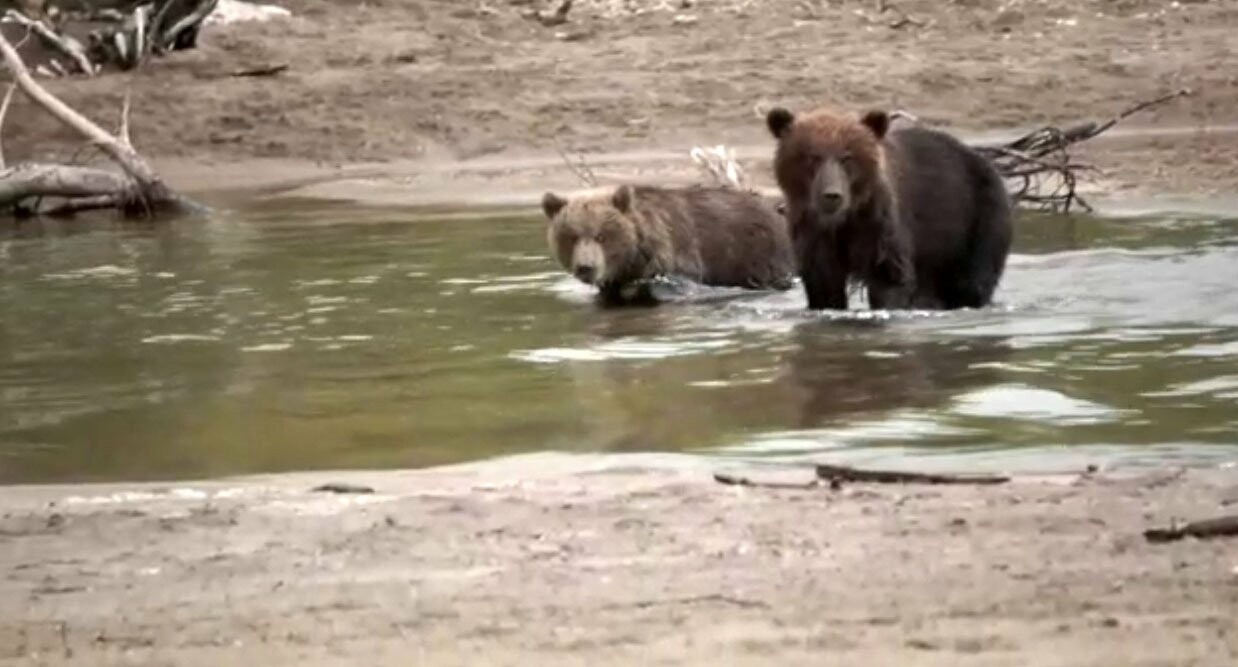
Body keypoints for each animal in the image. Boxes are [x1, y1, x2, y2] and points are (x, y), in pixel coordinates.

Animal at [762, 106, 1015, 310]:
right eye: (812, 157)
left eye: (847, 158)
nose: (832, 195)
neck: (844, 219)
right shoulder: (813, 232)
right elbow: (823, 283)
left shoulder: (879, 223)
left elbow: (889, 277)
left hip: (977, 218)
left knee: (973, 280)